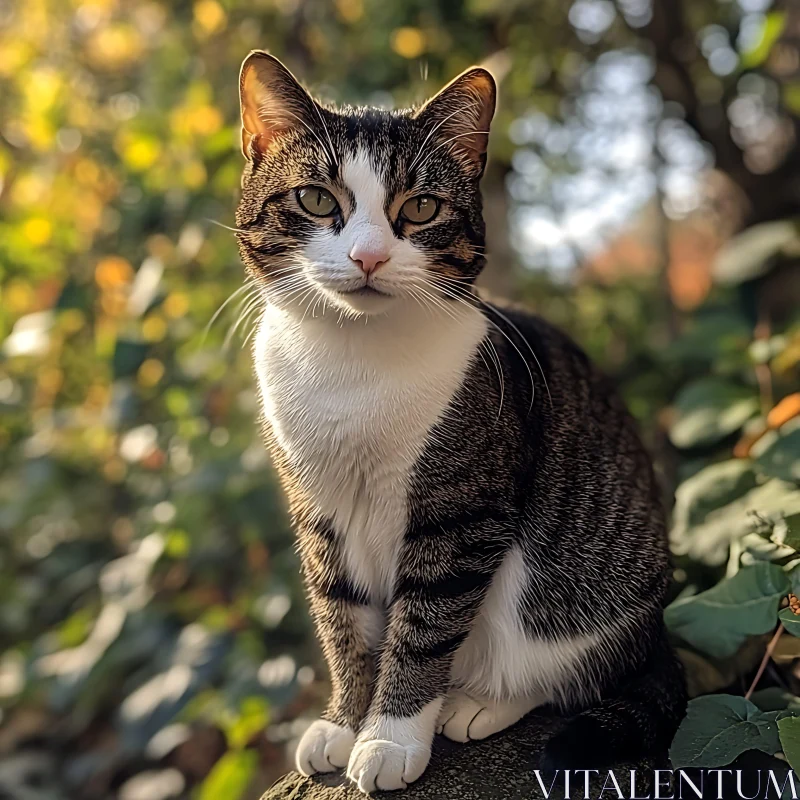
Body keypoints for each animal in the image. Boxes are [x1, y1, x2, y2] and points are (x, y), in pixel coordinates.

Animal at [233, 51, 688, 792]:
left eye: (420, 207)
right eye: (316, 200)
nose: (368, 256)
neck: (351, 365)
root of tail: (657, 630)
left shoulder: (462, 511)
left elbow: (422, 627)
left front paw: (388, 738)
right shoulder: (319, 510)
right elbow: (342, 621)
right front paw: (343, 721)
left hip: (580, 593)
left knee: (569, 668)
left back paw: (478, 702)